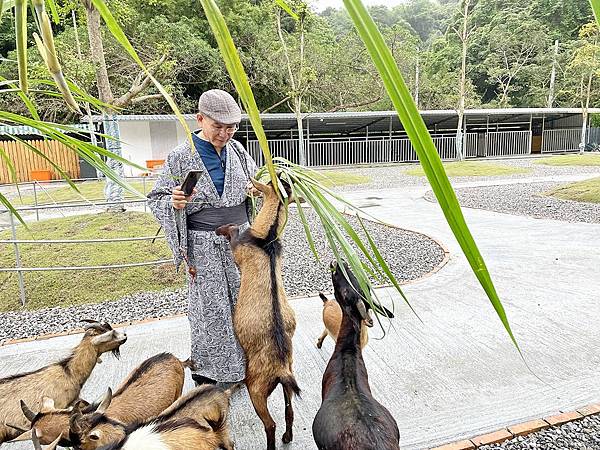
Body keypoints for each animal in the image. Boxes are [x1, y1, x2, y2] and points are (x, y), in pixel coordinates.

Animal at [216, 178, 300, 450]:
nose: (248, 188)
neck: (267, 238)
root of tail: (281, 368)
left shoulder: (238, 249)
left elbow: (233, 233)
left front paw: (222, 229)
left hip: (257, 388)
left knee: (270, 424)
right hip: (288, 380)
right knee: (289, 411)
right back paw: (288, 437)